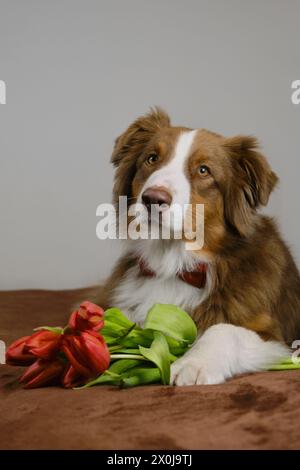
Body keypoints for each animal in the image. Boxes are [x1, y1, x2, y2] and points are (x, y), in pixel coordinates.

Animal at [92, 107, 300, 386]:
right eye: (151, 158)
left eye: (203, 170)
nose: (153, 199)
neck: (175, 263)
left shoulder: (275, 336)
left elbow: (223, 329)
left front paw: (193, 363)